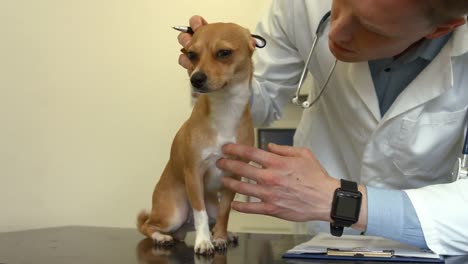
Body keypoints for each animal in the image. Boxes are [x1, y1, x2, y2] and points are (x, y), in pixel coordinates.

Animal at [137, 23, 262, 256]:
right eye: (191, 55)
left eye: (224, 53)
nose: (195, 78)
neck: (225, 109)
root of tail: (181, 229)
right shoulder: (194, 174)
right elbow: (200, 214)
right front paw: (203, 242)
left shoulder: (232, 178)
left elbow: (225, 213)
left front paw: (220, 237)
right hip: (174, 213)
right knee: (147, 225)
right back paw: (161, 237)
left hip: (208, 204)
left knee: (212, 217)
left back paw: (224, 234)